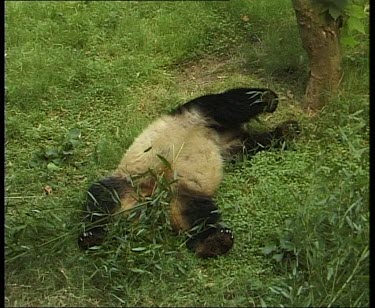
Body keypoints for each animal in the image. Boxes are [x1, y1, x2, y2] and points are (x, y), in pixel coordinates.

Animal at [78, 88, 302, 258]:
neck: (218, 132)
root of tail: (153, 203)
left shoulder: (227, 146)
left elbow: (252, 144)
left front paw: (288, 130)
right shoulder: (201, 111)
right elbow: (230, 103)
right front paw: (268, 99)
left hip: (184, 194)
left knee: (199, 217)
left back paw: (213, 242)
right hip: (129, 182)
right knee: (100, 199)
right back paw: (90, 237)